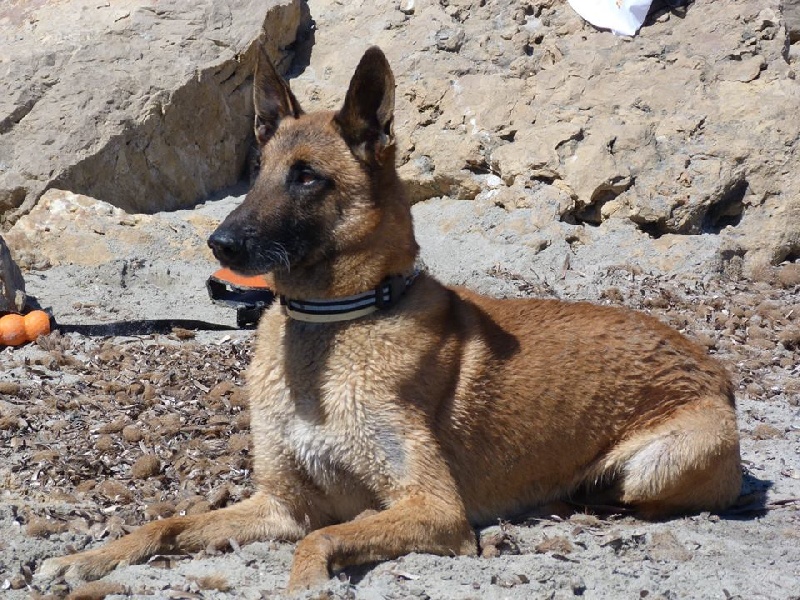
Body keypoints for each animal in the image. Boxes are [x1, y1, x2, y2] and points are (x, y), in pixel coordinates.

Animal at [40, 42, 742, 592]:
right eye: (258, 173)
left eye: (307, 178)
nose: (221, 244)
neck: (331, 324)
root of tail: (713, 368)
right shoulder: (281, 503)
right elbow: (170, 521)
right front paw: (90, 557)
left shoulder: (432, 508)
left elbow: (321, 540)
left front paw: (308, 586)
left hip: (656, 467)